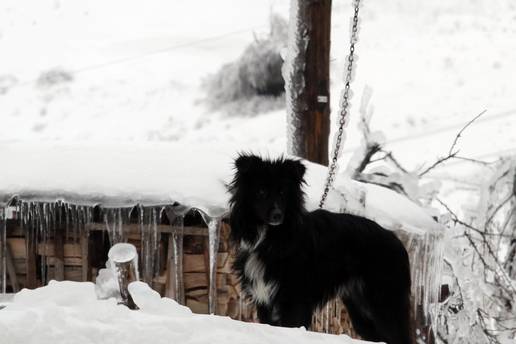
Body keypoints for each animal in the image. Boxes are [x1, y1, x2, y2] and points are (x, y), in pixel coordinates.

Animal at [228, 155, 414, 344]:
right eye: (261, 191)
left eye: (283, 192)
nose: (277, 216)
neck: (273, 237)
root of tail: (398, 242)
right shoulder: (264, 301)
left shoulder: (294, 298)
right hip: (361, 310)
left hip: (385, 302)